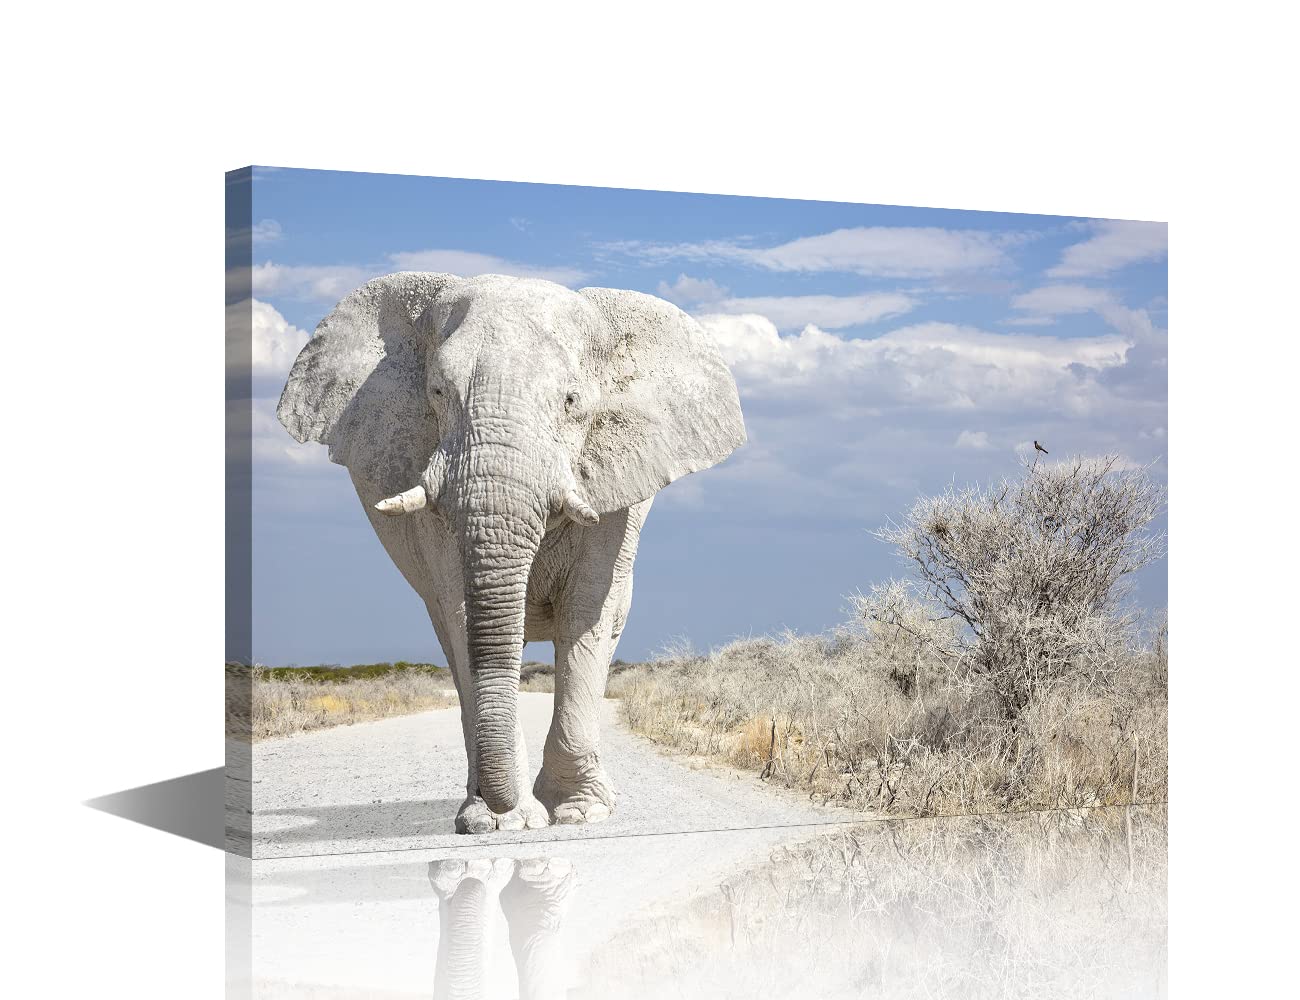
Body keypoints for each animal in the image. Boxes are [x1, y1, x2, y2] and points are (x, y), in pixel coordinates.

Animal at [277, 272, 746, 833]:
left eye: (571, 401)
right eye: (437, 392)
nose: (504, 808)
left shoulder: (616, 497)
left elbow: (587, 611)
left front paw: (580, 813)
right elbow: (461, 611)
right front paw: (503, 821)